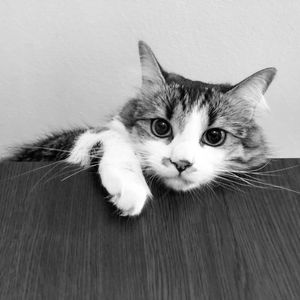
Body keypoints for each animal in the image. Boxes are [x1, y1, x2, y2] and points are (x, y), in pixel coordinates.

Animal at [9, 41, 276, 216]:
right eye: (161, 127)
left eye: (214, 136)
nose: (181, 164)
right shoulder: (42, 150)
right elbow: (107, 134)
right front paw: (130, 185)